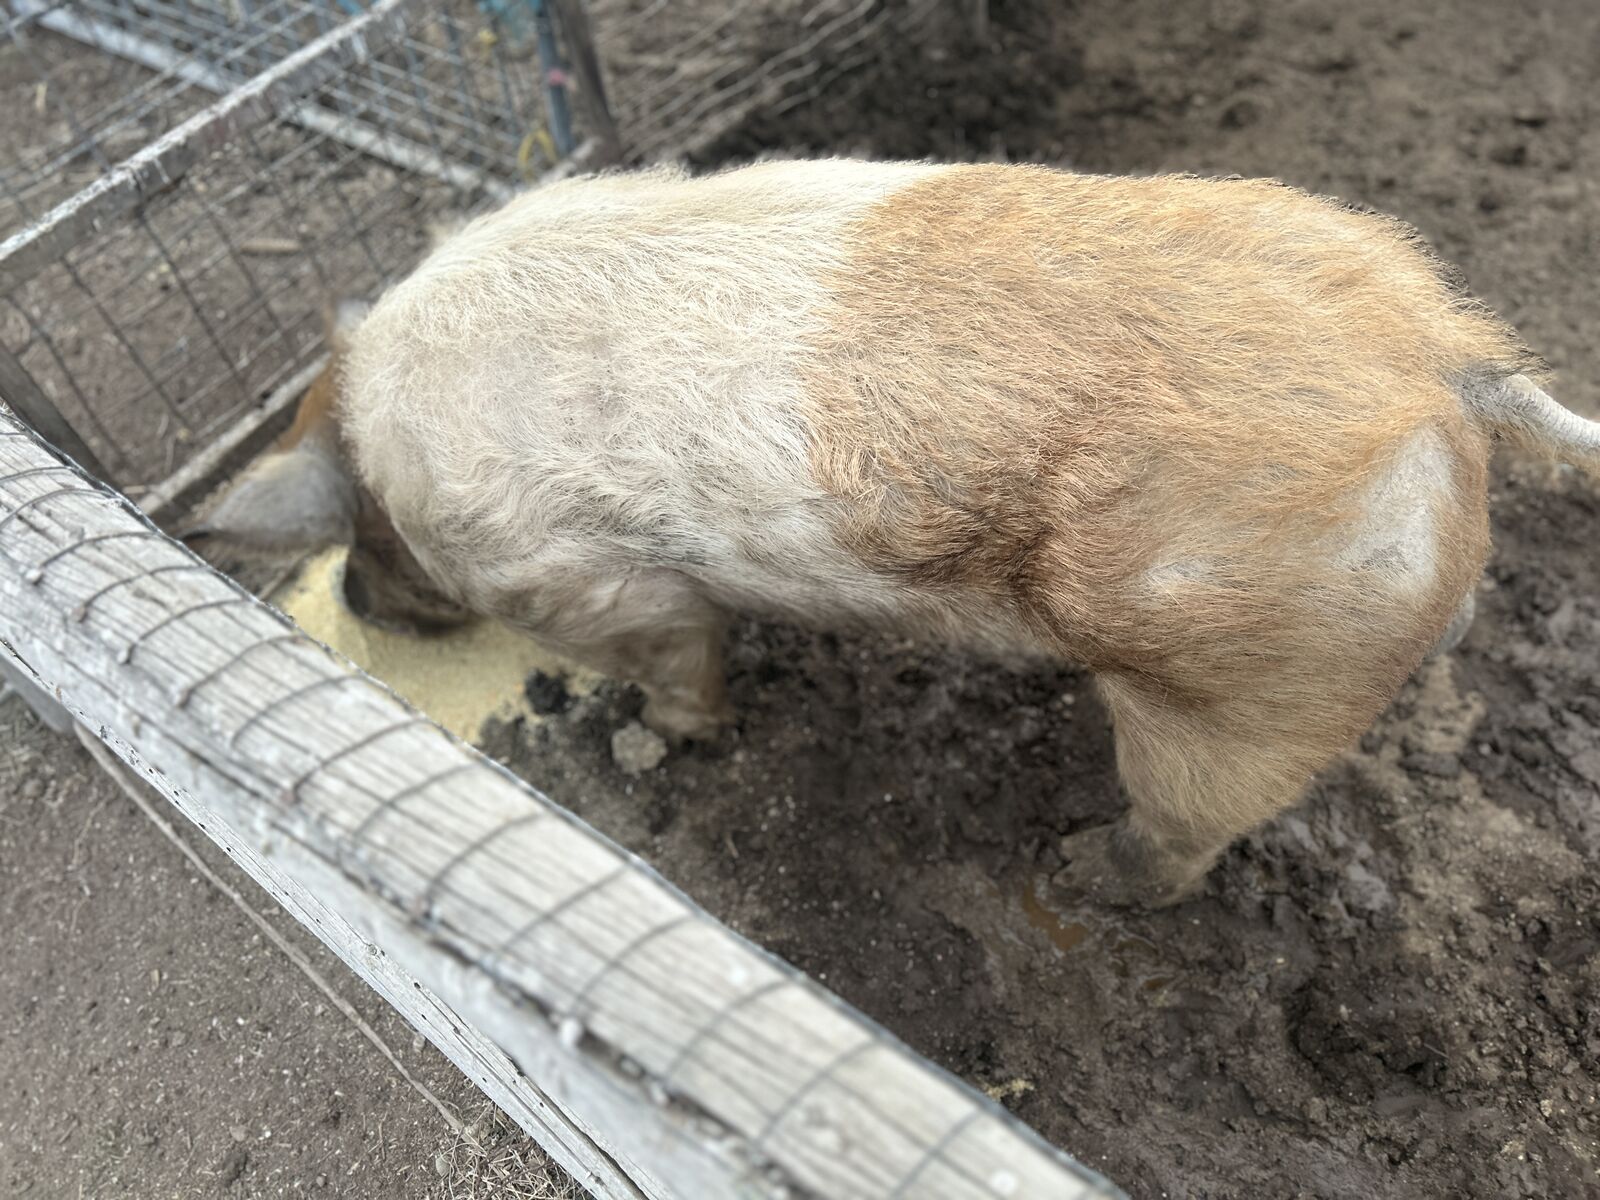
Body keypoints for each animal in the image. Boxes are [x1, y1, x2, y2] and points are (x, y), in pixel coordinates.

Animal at [191, 159, 1600, 907]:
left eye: (366, 546)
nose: (358, 605)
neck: (377, 437)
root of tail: (1445, 360)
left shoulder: (589, 582)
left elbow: (679, 663)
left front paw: (654, 743)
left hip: (1237, 677)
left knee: (1190, 830)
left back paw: (1070, 871)